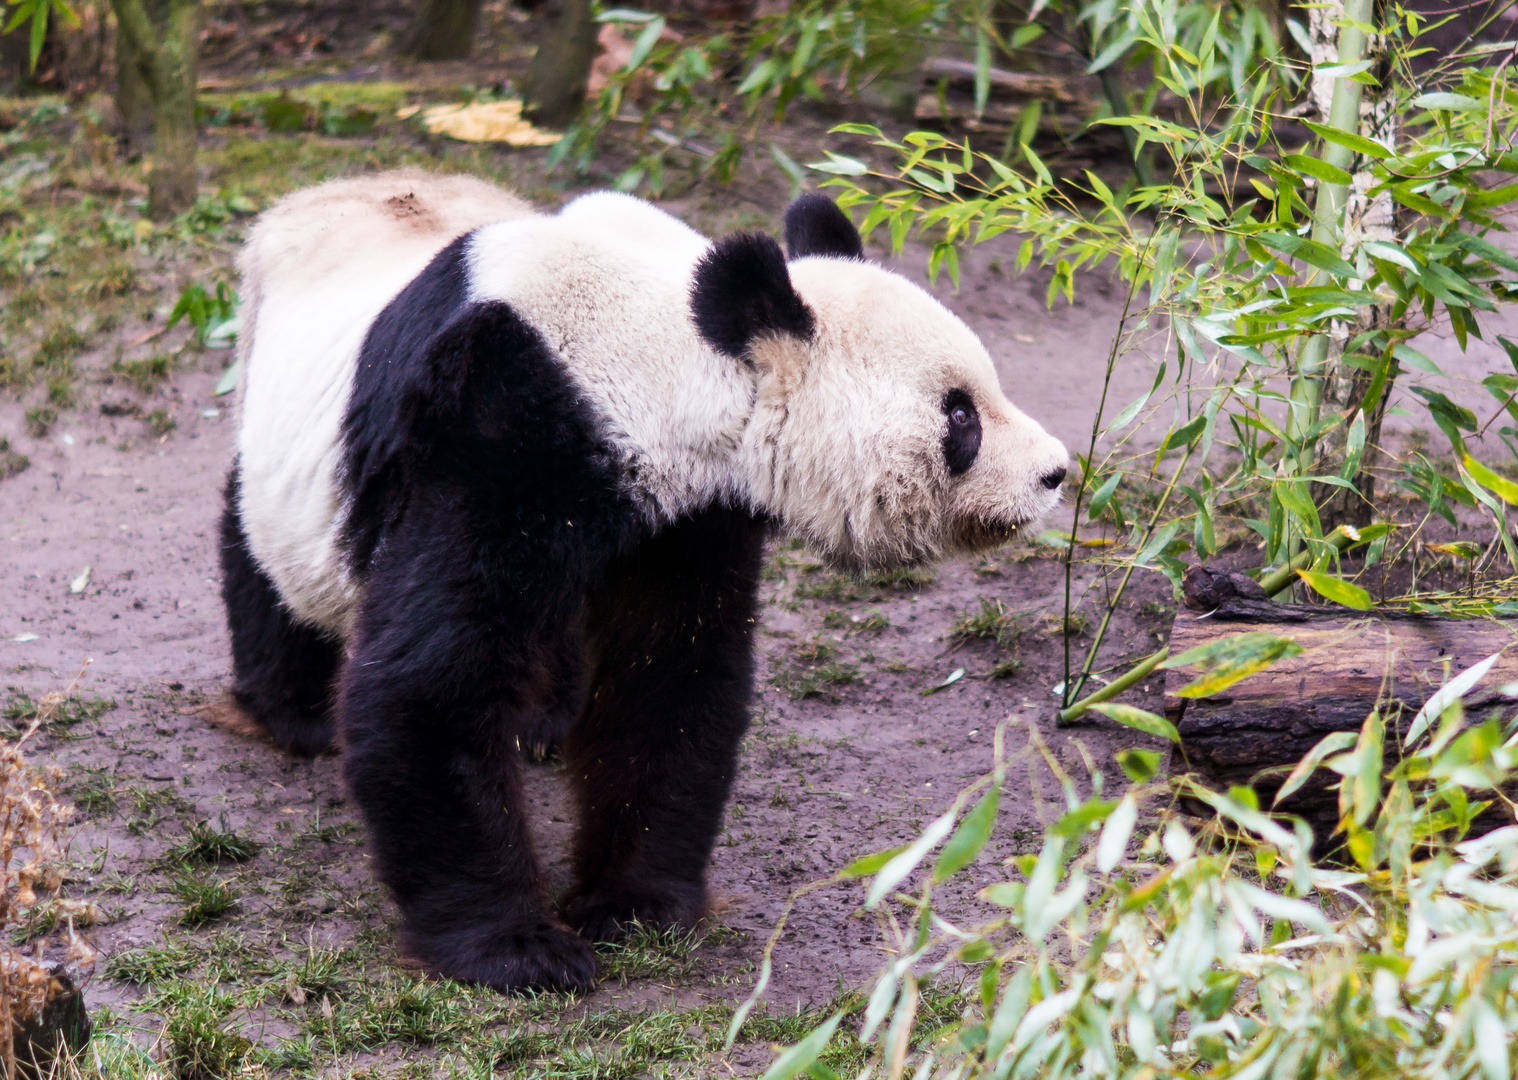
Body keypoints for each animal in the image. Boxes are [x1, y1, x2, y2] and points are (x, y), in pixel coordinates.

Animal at [224, 167, 1068, 990]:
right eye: (960, 416)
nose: (1055, 471)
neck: (654, 354)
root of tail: (326, 192)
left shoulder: (689, 517)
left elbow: (664, 678)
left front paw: (633, 907)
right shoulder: (494, 428)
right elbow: (431, 677)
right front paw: (516, 947)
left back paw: (541, 720)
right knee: (261, 542)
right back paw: (294, 708)